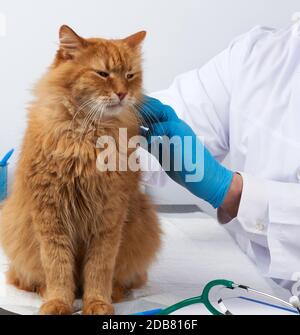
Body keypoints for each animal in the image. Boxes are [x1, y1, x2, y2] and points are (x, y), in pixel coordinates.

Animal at [0, 25, 162, 316]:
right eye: (103, 74)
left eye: (130, 75)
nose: (123, 94)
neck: (87, 136)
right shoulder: (51, 216)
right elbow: (58, 268)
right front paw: (57, 303)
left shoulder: (108, 218)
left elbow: (99, 270)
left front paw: (98, 303)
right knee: (26, 279)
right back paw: (45, 292)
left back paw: (114, 294)